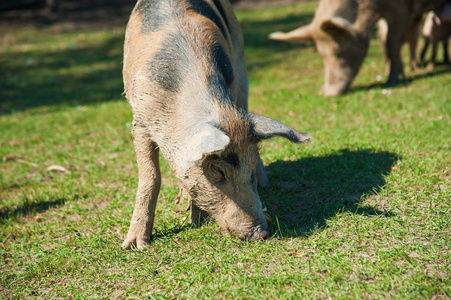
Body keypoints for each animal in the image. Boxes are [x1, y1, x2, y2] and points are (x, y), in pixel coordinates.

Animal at [121, 0, 310, 250]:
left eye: (248, 169)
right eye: (218, 170)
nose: (261, 233)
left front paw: (196, 220)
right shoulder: (140, 121)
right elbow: (150, 177)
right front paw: (135, 246)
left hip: (241, 67)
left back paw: (263, 183)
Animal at [270, 0, 446, 96]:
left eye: (342, 51)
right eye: (321, 55)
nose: (328, 94)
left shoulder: (399, 8)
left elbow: (391, 42)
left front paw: (391, 82)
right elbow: (383, 39)